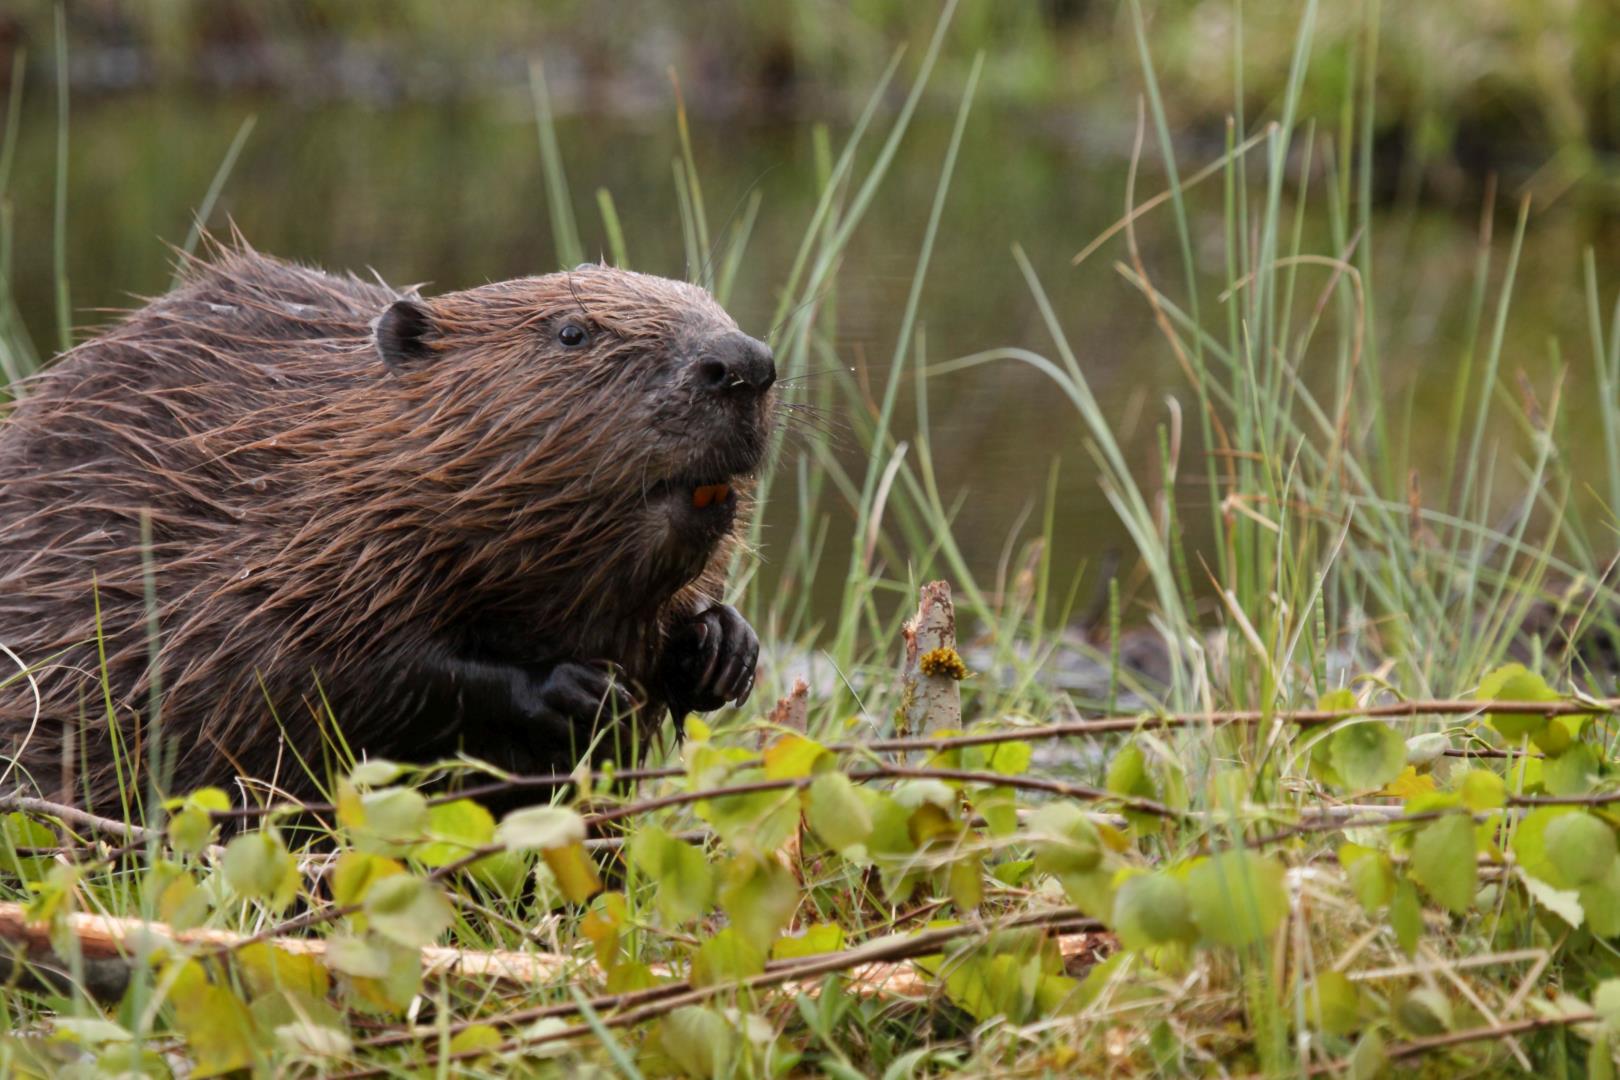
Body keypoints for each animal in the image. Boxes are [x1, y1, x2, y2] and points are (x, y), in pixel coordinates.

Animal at [0, 238, 774, 809]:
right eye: (572, 332)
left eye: (712, 304)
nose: (743, 363)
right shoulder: (264, 553)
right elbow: (327, 673)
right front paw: (576, 689)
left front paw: (723, 648)